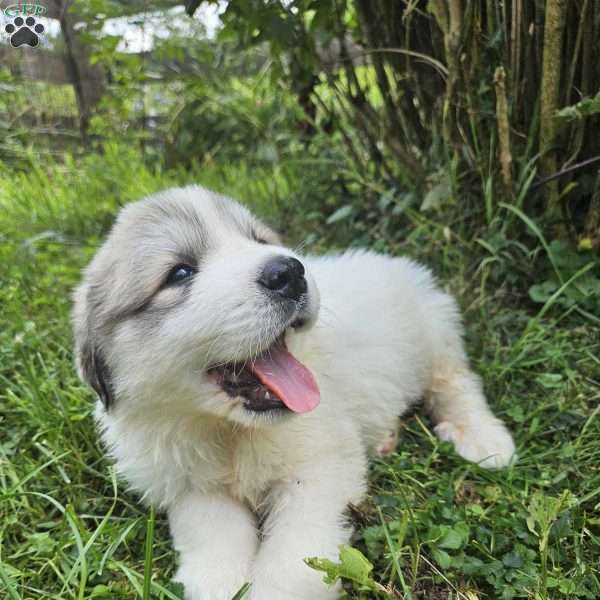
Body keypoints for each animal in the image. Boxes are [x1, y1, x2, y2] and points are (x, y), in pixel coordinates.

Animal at [72, 185, 516, 596]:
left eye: (258, 239)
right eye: (180, 273)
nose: (288, 271)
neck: (230, 432)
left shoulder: (319, 469)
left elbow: (294, 555)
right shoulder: (188, 484)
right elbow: (210, 529)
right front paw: (219, 582)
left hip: (433, 333)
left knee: (455, 383)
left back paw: (485, 439)